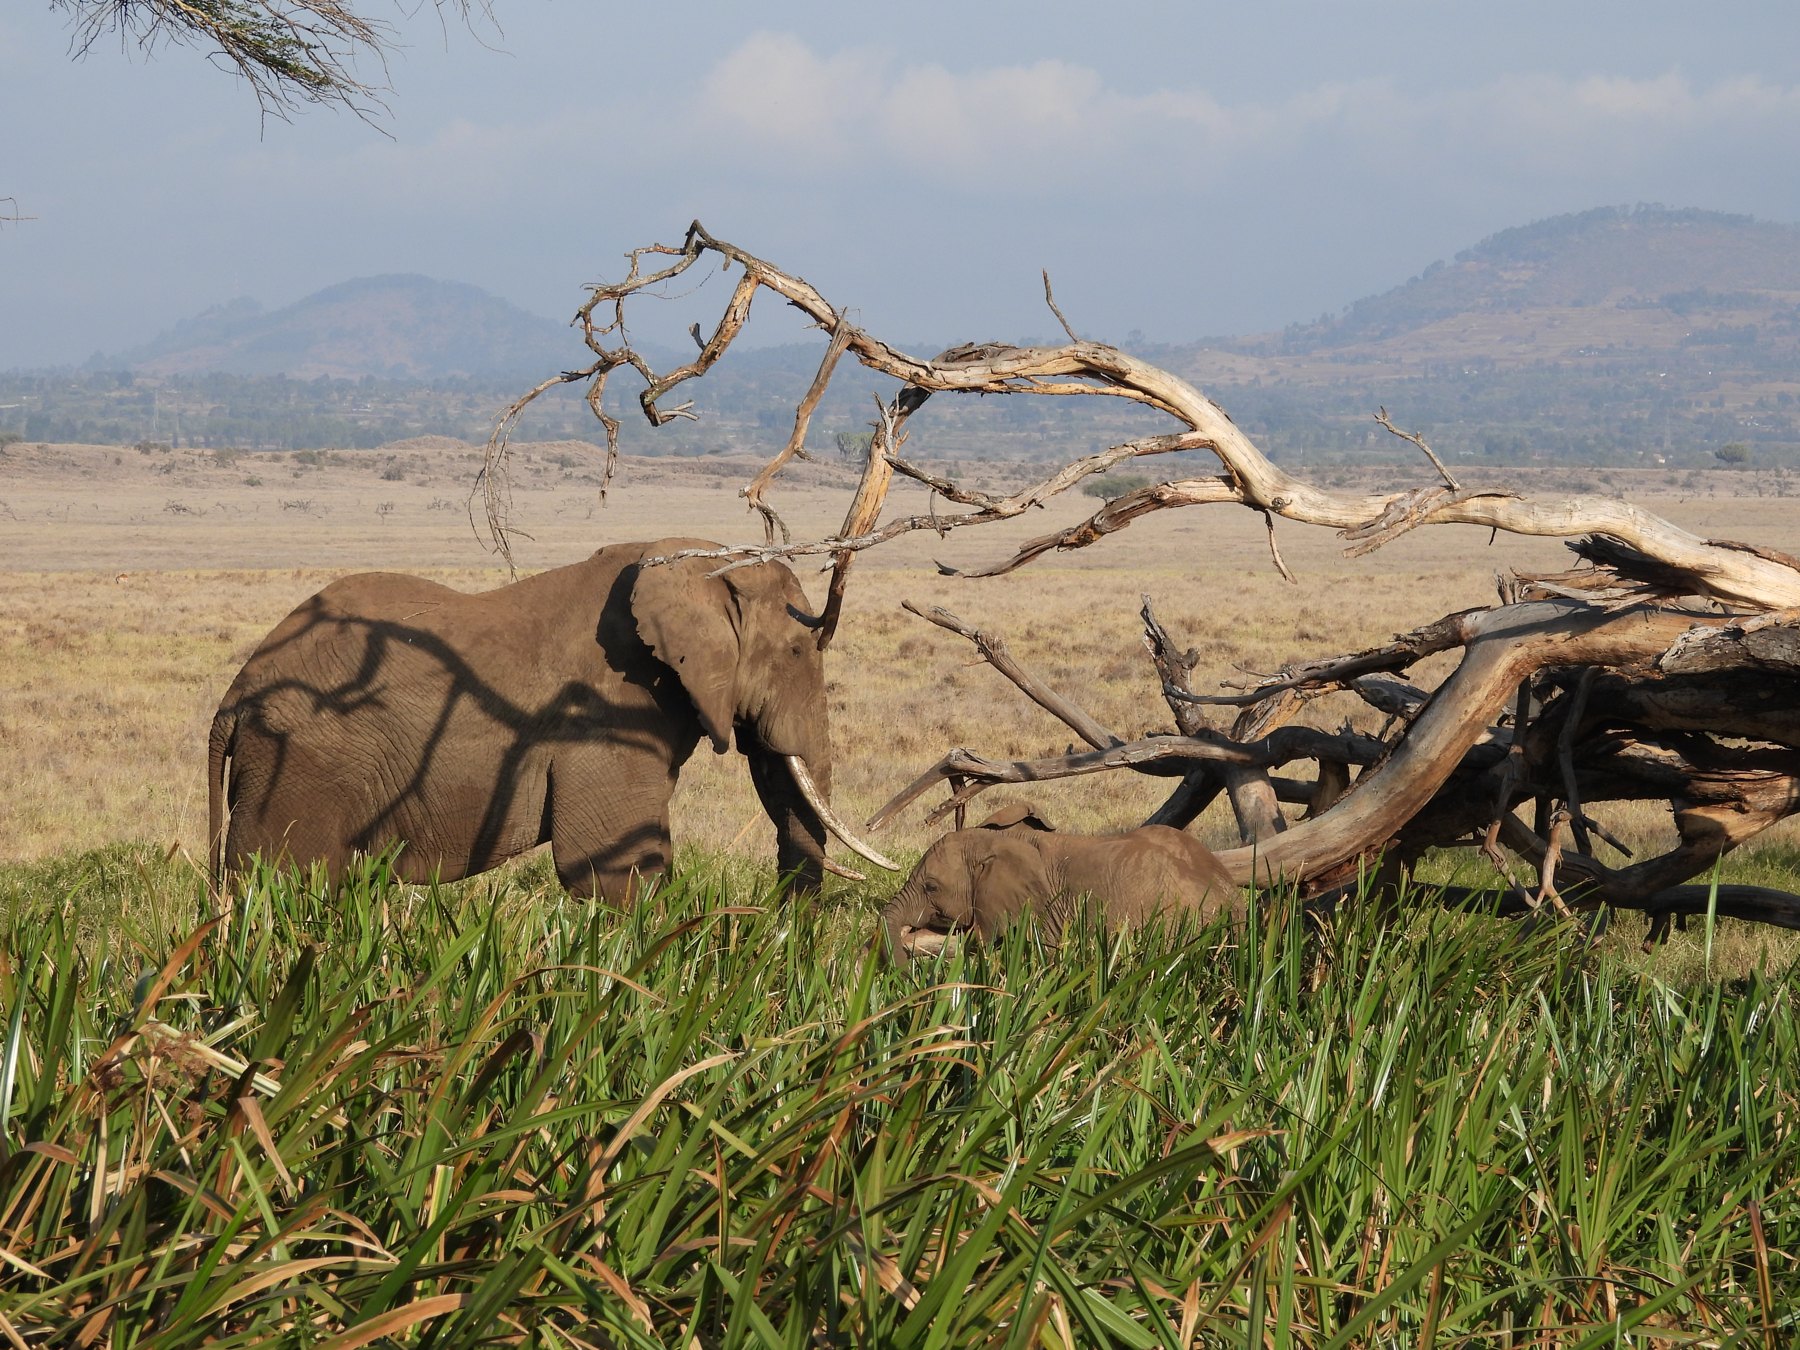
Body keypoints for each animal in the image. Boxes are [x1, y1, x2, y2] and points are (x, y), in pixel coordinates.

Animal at [208, 537, 895, 901]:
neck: (694, 561)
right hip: (303, 762)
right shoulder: (607, 709)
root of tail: (234, 696)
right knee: (286, 883)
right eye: (799, 651)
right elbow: (615, 868)